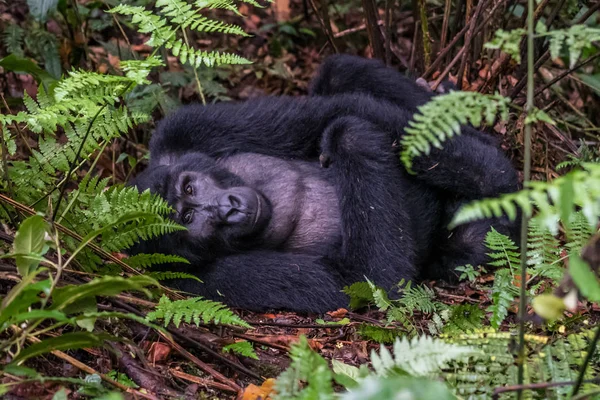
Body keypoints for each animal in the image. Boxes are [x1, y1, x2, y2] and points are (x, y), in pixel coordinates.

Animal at [130, 54, 520, 314]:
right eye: (187, 219)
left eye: (189, 188)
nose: (228, 209)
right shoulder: (195, 281)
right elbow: (368, 279)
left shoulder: (184, 129)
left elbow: (332, 112)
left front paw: (497, 178)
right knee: (467, 248)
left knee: (339, 74)